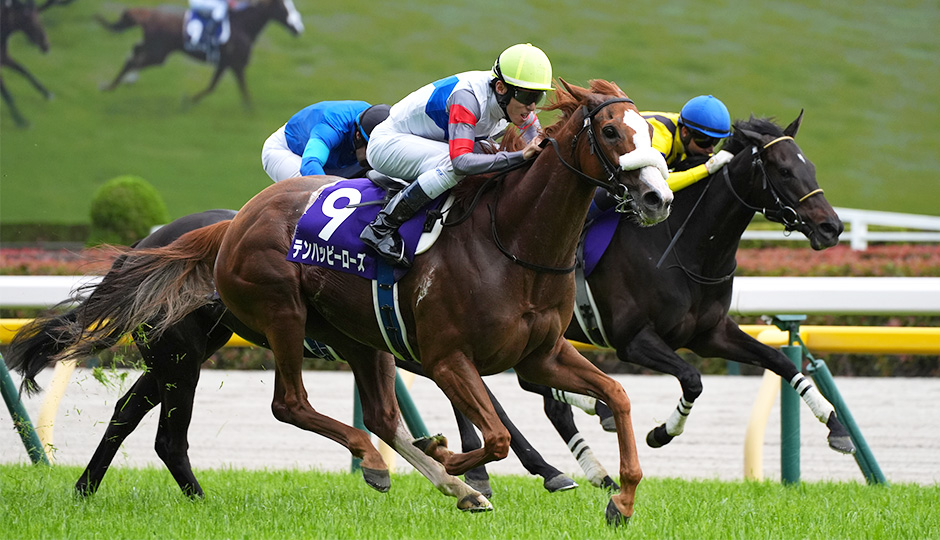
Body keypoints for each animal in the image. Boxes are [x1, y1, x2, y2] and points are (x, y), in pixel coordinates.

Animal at [15, 79, 673, 524]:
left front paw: (622, 497)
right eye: (611, 132)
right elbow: (495, 436)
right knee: (286, 404)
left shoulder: (541, 354)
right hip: (268, 318)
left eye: (648, 130)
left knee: (142, 413)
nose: (657, 197)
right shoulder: (446, 358)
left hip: (312, 339)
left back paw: (89, 488)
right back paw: (378, 464)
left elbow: (616, 395)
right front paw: (457, 462)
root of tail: (228, 225)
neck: (510, 241)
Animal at [95, 0, 303, 107]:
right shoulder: (236, 64)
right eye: (284, 8)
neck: (242, 25)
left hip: (153, 49)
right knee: (133, 61)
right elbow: (243, 91)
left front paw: (189, 100)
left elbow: (212, 86)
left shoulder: (225, 64)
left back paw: (120, 82)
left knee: (133, 54)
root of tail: (147, 15)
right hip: (157, 53)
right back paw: (111, 86)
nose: (298, 29)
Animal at [450, 111, 854, 489]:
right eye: (784, 171)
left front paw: (836, 427)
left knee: (537, 394)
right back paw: (490, 469)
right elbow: (692, 378)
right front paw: (662, 432)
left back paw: (591, 451)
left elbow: (780, 361)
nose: (831, 226)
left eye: (810, 167)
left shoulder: (710, 335)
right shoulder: (633, 340)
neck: (684, 247)